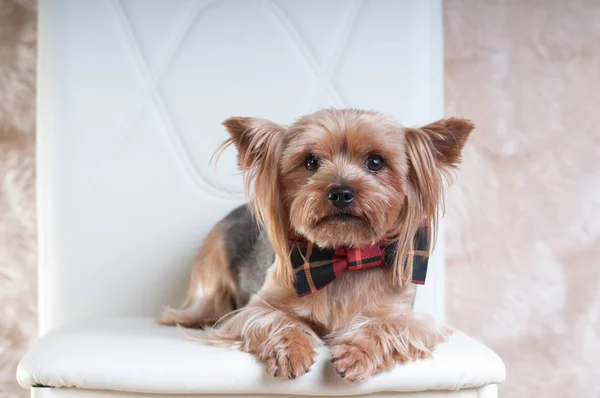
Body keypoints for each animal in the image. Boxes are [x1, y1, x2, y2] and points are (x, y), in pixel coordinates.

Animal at [159, 108, 474, 382]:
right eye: (311, 162)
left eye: (375, 162)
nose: (341, 192)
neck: (344, 255)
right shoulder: (253, 308)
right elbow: (271, 317)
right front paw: (291, 351)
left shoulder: (408, 317)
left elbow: (389, 325)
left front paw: (357, 353)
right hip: (212, 275)